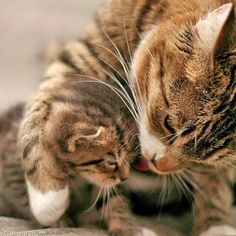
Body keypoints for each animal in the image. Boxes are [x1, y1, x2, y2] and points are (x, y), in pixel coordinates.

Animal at [18, 0, 236, 235]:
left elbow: (215, 178)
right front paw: (48, 196)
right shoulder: (91, 49)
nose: (158, 166)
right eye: (169, 125)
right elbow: (40, 107)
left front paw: (215, 223)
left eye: (203, 160)